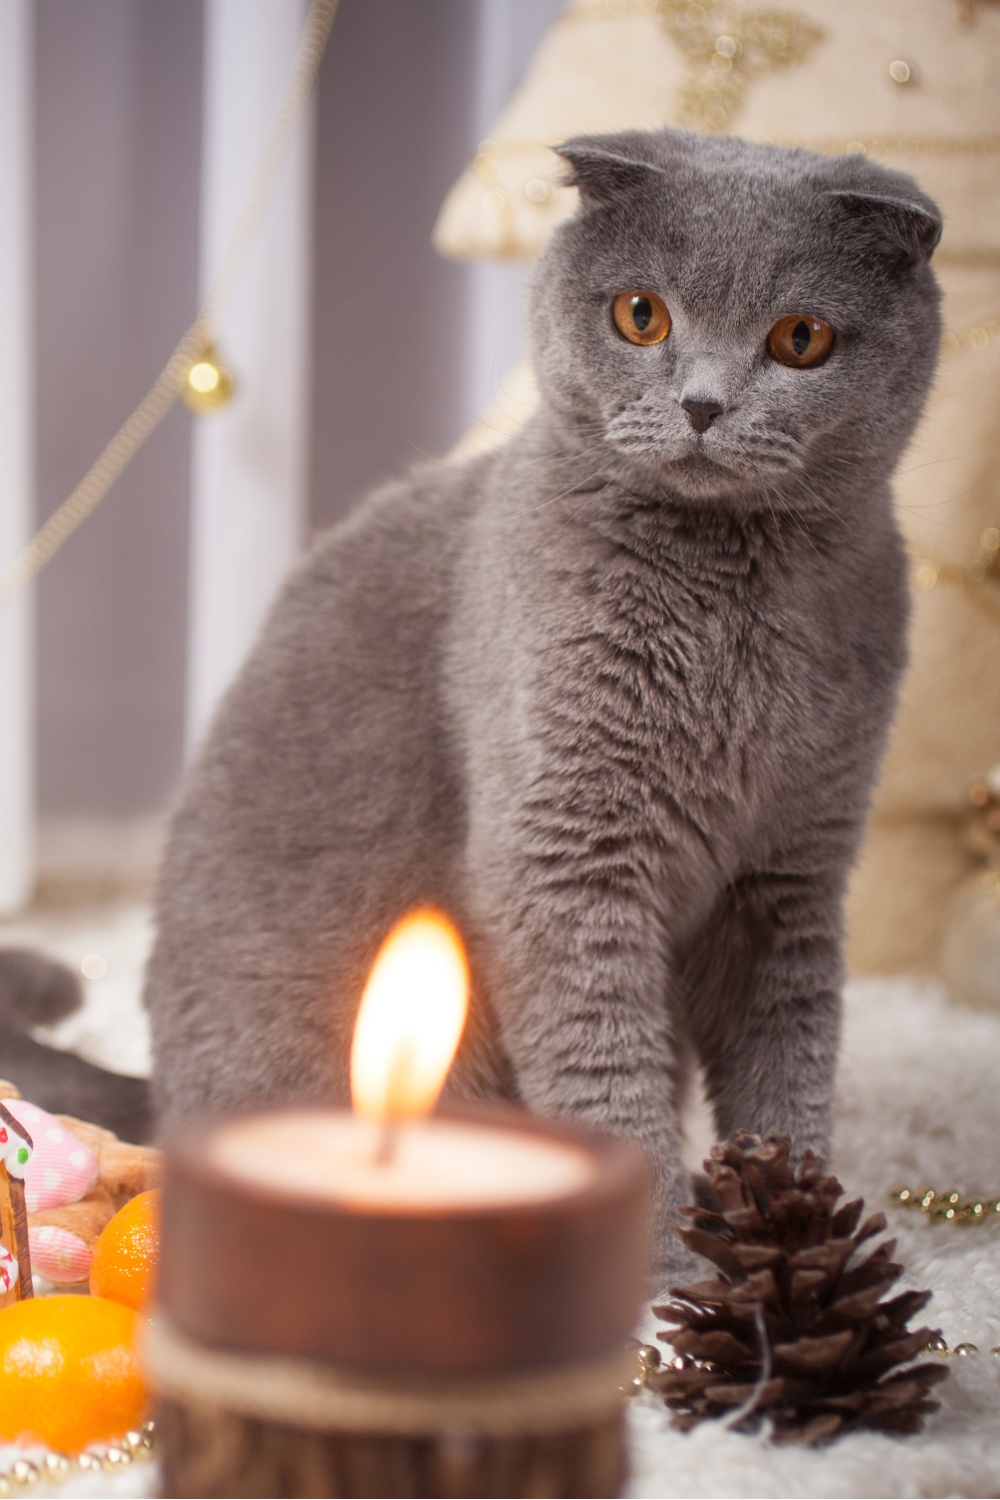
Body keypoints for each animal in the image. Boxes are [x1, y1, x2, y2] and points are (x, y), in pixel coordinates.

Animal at [144, 126, 941, 1278]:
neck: (731, 620)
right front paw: (660, 1258)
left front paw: (803, 1233)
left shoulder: (790, 870)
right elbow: (602, 1051)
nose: (703, 404)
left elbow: (788, 1058)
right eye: (641, 315)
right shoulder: (566, 848)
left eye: (802, 338)